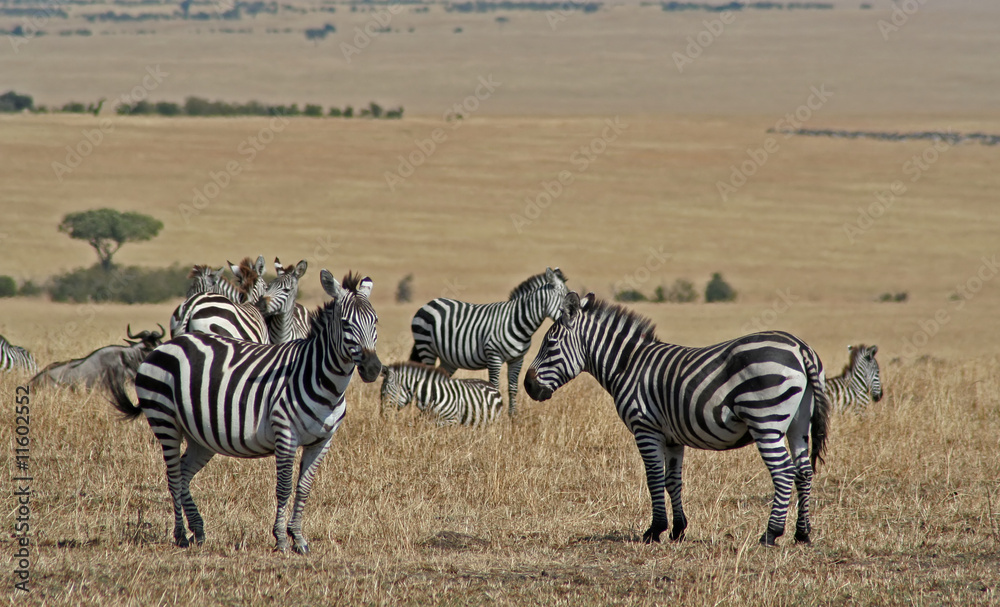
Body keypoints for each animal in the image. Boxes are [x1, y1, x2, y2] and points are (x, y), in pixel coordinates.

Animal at [106, 270, 381, 554]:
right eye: (346, 324)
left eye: (376, 322)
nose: (373, 369)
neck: (323, 380)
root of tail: (171, 343)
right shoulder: (285, 433)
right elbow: (284, 487)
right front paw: (281, 539)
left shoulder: (323, 441)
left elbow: (304, 488)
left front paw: (299, 538)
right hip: (165, 421)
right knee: (173, 475)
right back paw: (181, 534)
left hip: (199, 434)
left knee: (183, 472)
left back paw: (198, 530)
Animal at [409, 267, 568, 418]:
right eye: (566, 298)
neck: (516, 322)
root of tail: (430, 303)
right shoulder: (494, 357)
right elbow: (495, 387)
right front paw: (495, 415)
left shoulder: (517, 360)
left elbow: (513, 387)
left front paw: (513, 416)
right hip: (426, 348)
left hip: (448, 359)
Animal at [524, 292, 830, 546]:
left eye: (550, 344)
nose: (528, 386)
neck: (627, 365)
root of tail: (800, 347)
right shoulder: (672, 437)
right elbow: (673, 480)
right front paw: (678, 529)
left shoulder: (645, 428)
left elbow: (654, 478)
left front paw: (654, 530)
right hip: (798, 424)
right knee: (803, 471)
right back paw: (802, 534)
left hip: (766, 420)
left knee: (783, 472)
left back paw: (770, 534)